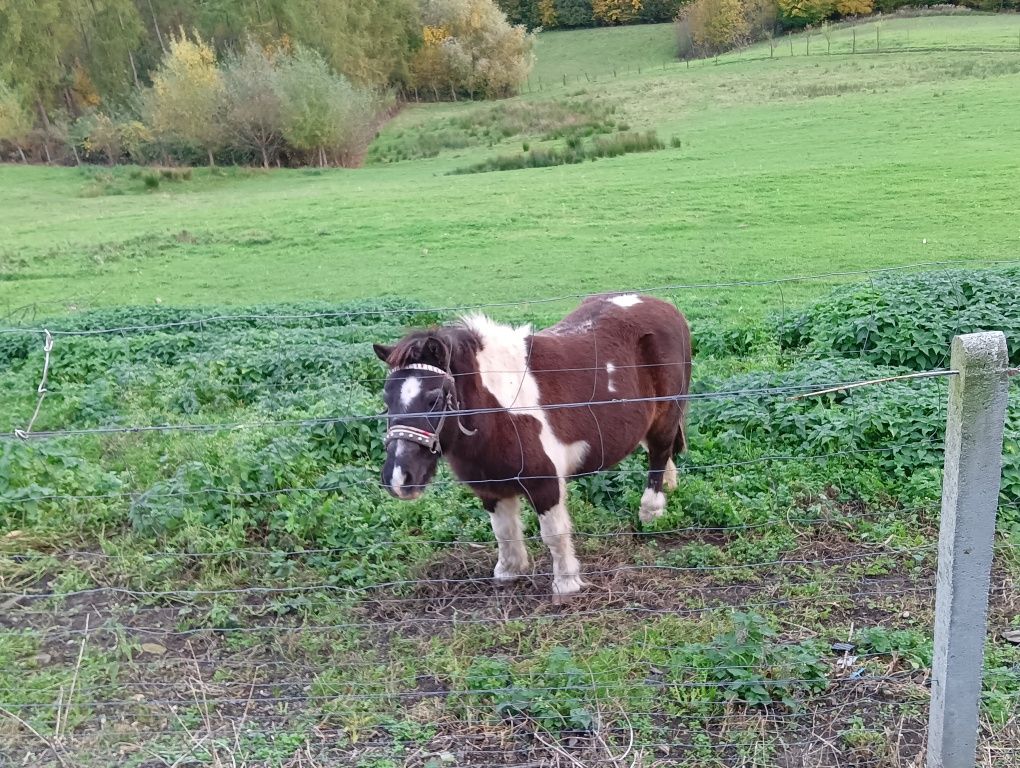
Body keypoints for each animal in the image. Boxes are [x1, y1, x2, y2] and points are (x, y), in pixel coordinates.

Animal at [375, 293, 693, 599]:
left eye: (435, 399)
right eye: (386, 398)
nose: (399, 478)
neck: (499, 413)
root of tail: (666, 308)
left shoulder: (545, 484)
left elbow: (554, 534)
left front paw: (566, 584)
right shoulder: (490, 487)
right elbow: (503, 531)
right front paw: (509, 571)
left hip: (666, 415)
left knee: (659, 454)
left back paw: (650, 513)